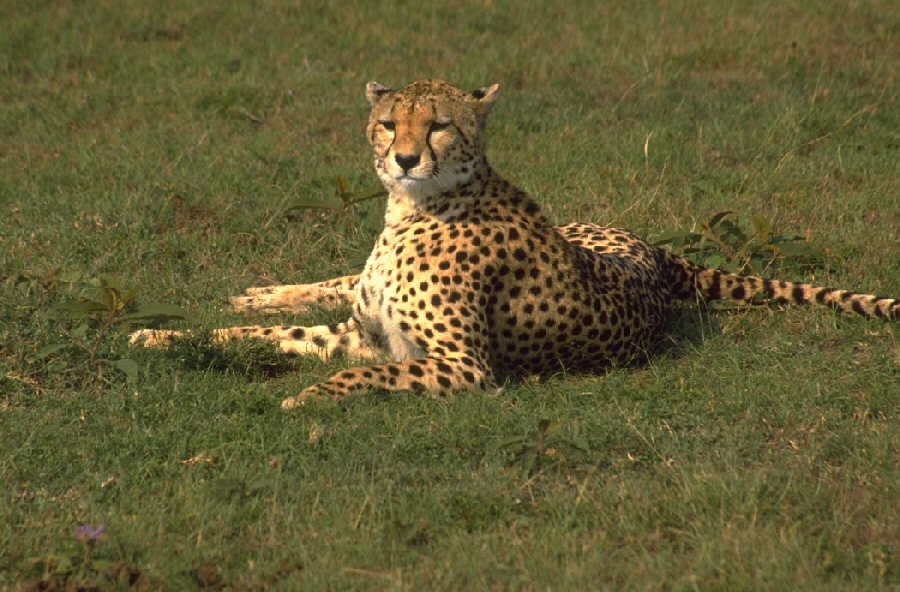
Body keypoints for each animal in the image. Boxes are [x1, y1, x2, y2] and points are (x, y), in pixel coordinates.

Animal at [130, 79, 899, 409]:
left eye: (440, 125)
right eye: (389, 122)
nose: (404, 159)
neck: (410, 212)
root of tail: (655, 252)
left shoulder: (458, 366)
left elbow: (351, 374)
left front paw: (309, 396)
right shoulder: (361, 332)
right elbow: (257, 336)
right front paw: (162, 336)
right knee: (329, 282)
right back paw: (254, 290)